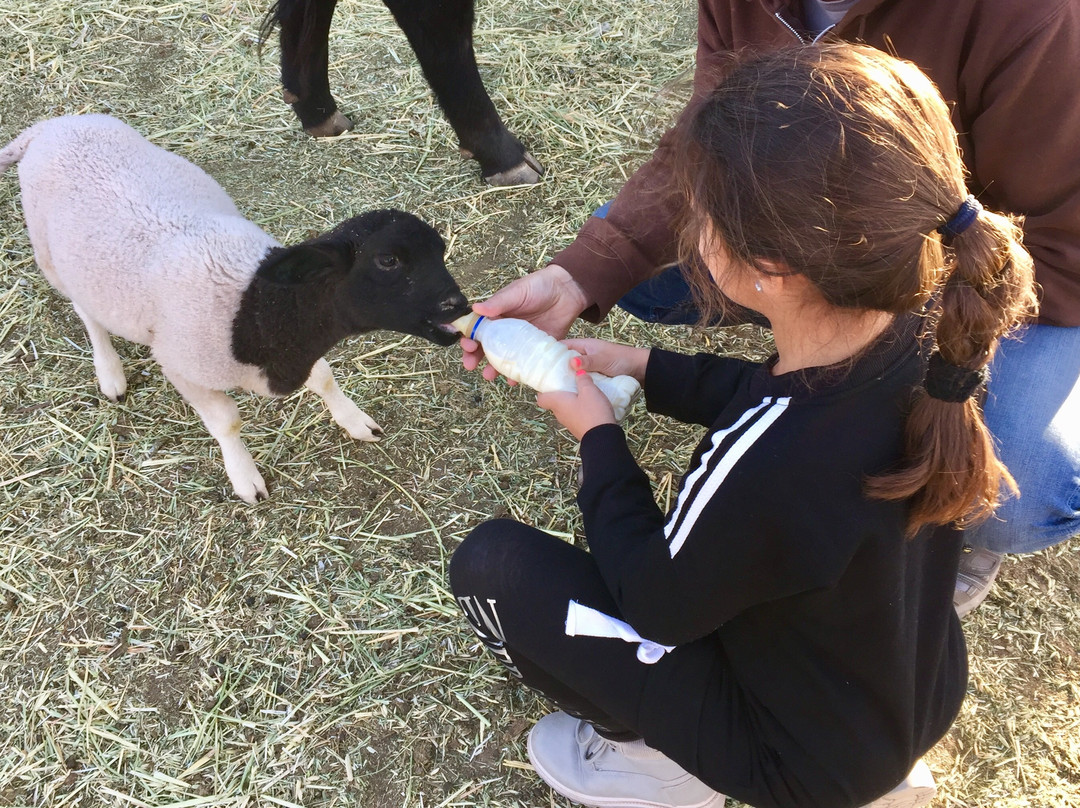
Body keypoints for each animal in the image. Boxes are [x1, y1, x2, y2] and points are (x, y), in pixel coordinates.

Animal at [2, 115, 470, 505]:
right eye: (388, 260)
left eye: (439, 249)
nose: (458, 305)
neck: (256, 308)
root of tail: (47, 127)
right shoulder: (181, 367)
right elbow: (227, 423)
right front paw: (245, 478)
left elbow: (323, 376)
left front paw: (355, 422)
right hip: (53, 259)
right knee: (86, 312)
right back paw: (110, 373)